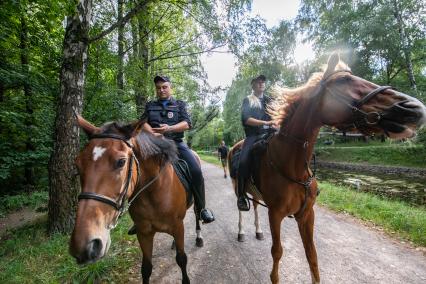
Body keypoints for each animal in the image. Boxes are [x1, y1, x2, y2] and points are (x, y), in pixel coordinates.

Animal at [68, 116, 205, 282]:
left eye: (121, 161)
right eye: (78, 163)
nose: (85, 245)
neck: (153, 194)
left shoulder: (178, 227)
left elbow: (181, 259)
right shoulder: (143, 232)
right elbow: (146, 268)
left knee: (197, 215)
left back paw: (199, 237)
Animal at [230, 52, 426, 282]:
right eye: (345, 81)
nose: (415, 108)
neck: (292, 166)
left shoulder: (307, 215)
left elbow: (312, 256)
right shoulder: (275, 214)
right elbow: (277, 252)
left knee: (255, 207)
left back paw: (258, 231)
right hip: (237, 188)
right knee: (241, 208)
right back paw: (242, 232)